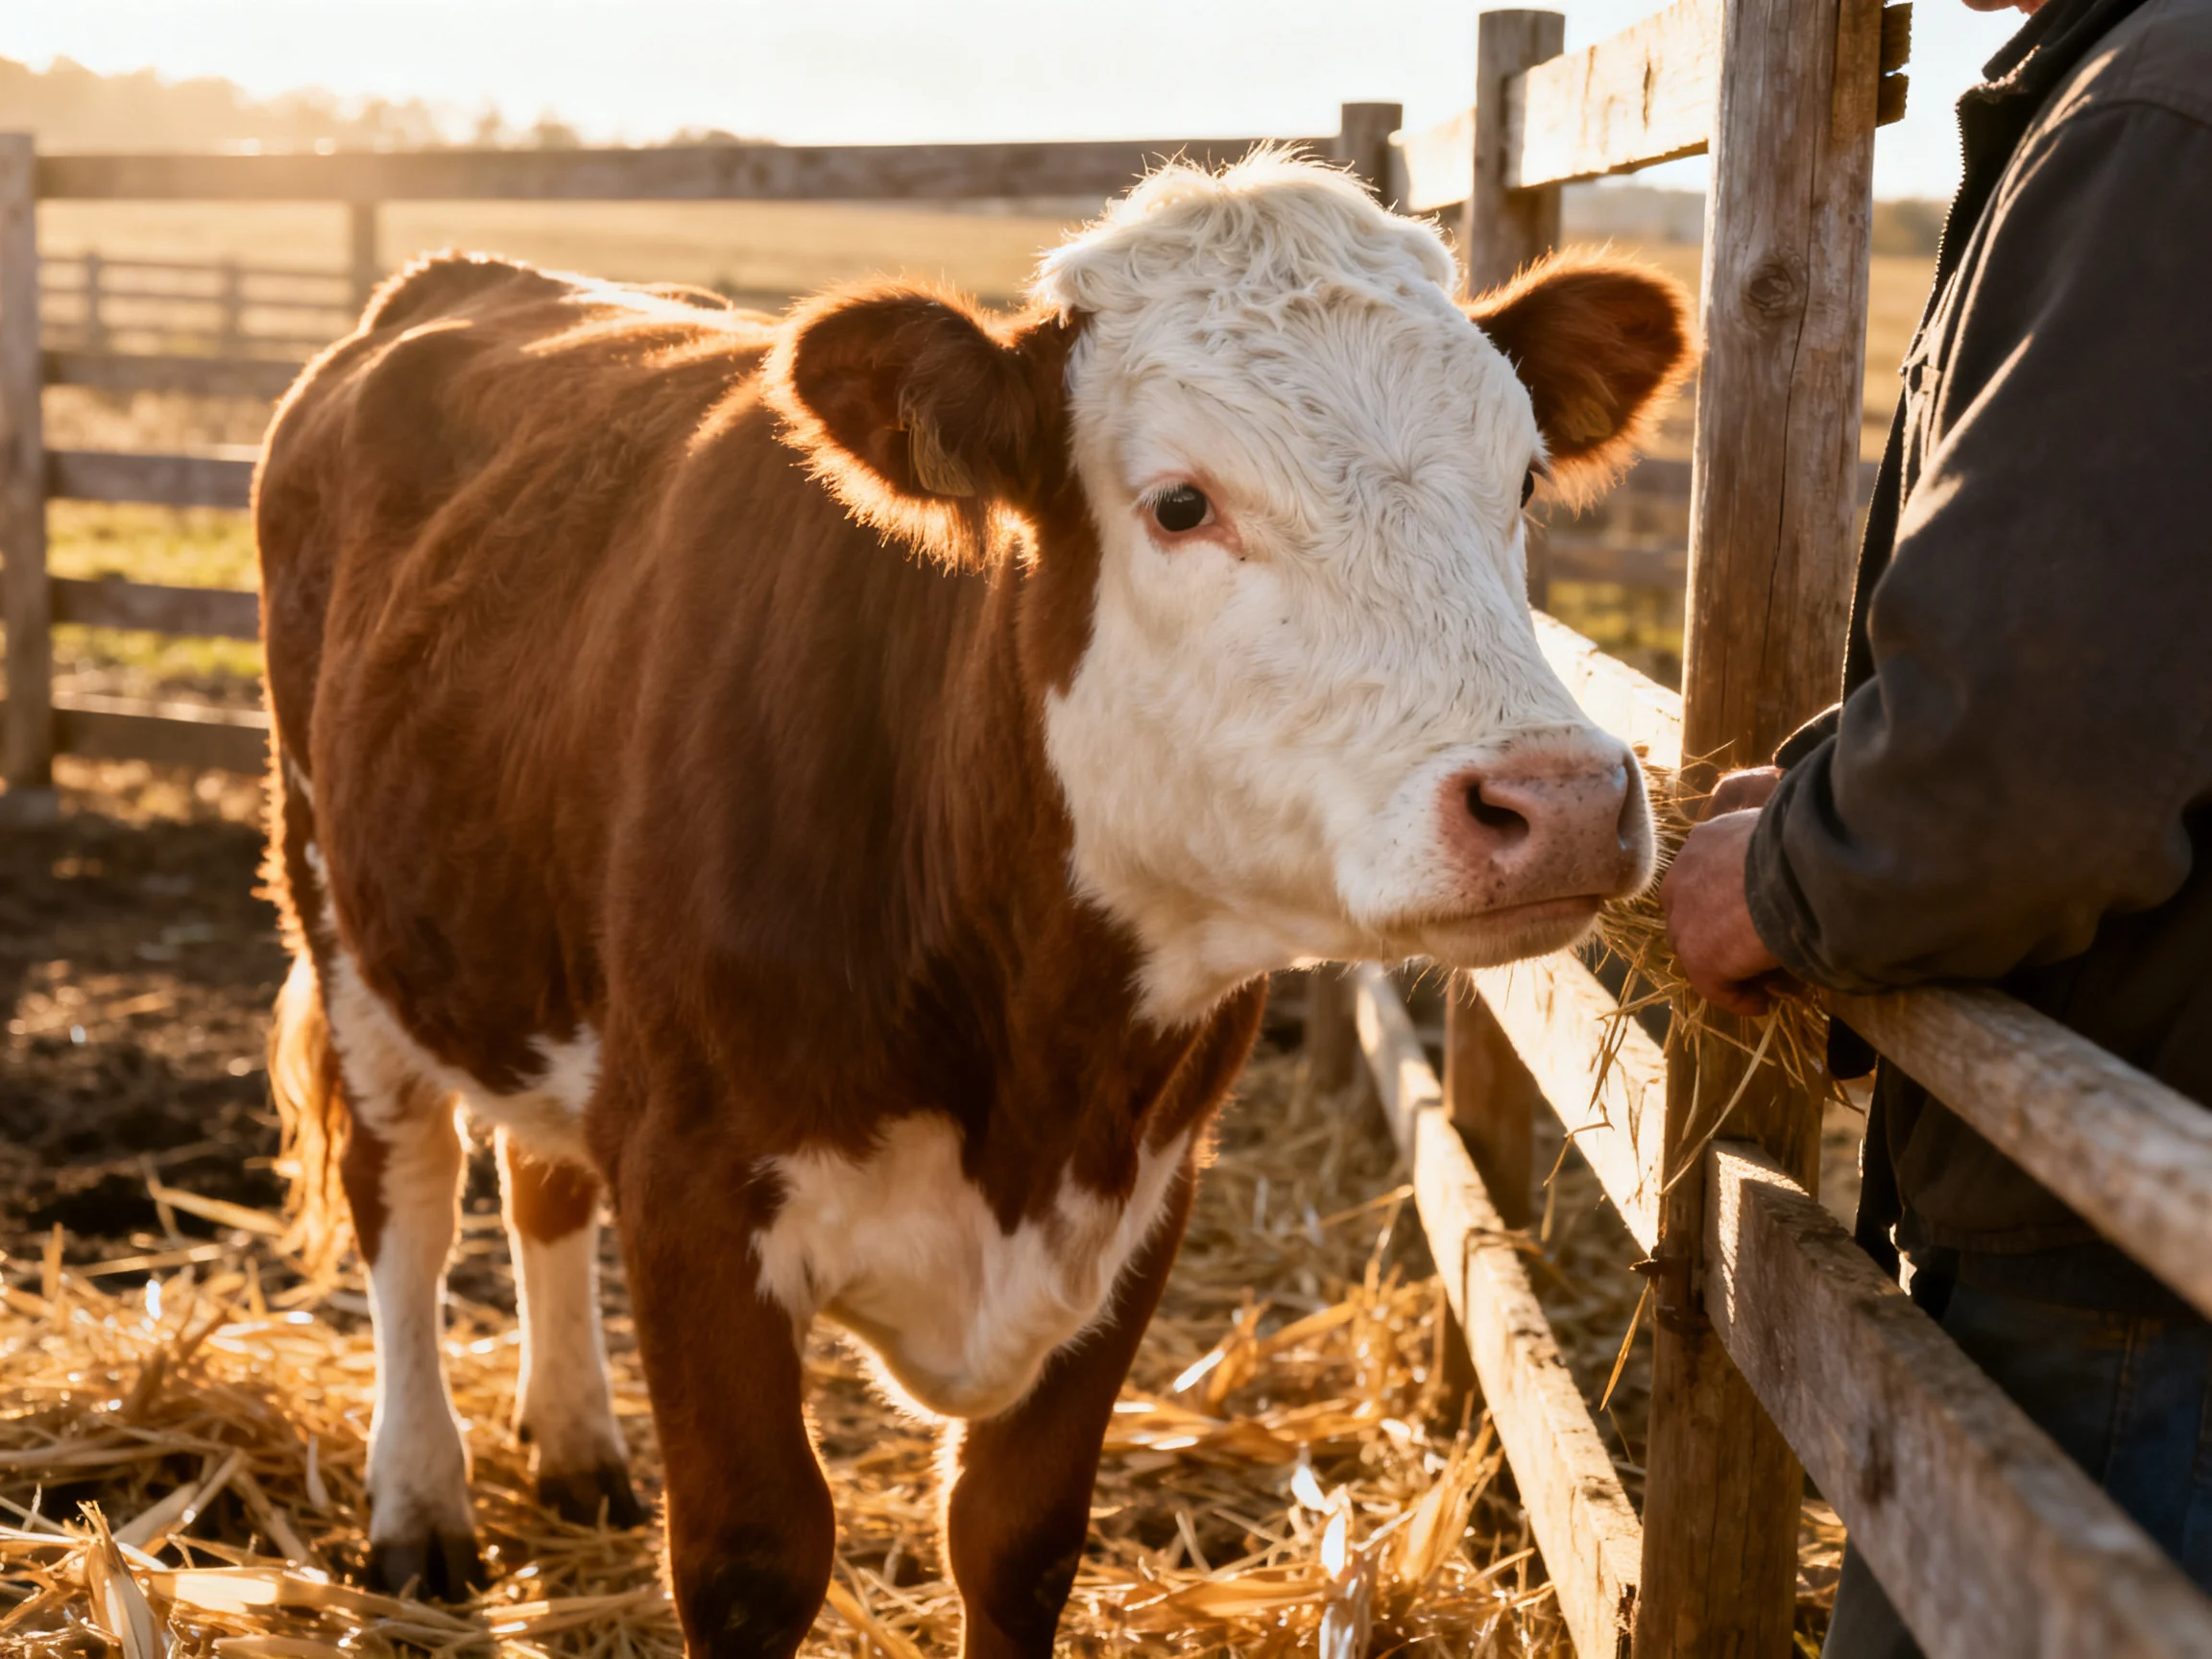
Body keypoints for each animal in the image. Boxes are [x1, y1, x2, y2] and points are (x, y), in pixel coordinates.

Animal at [253, 151, 1688, 1658]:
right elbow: (752, 1555)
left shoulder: (1145, 1195)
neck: (1036, 1063)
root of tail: (462, 274)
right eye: (1181, 505)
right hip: (340, 913)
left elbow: (1015, 1540)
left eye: (1522, 476)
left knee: (540, 1179)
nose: (1560, 799)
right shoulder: (688, 1182)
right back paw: (420, 1507)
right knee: (407, 1202)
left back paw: (579, 1445)